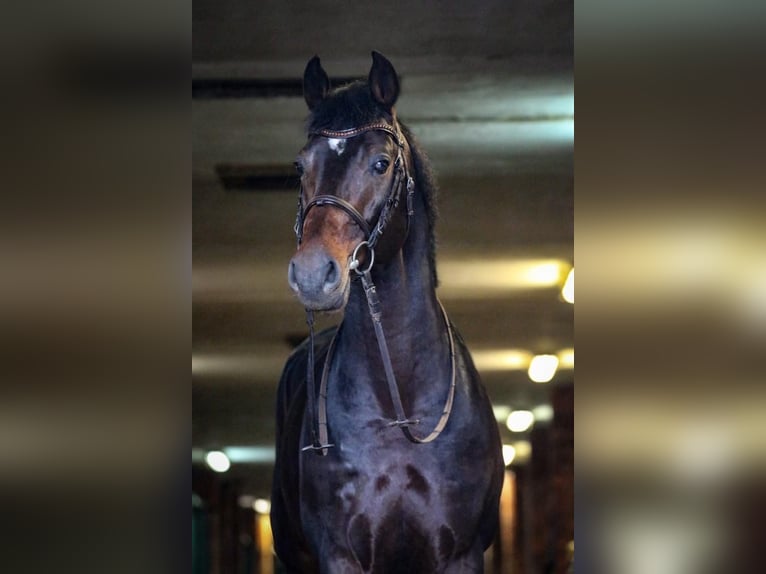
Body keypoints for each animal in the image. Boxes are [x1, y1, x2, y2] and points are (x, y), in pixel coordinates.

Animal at [271, 51, 504, 573]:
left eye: (381, 164)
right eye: (299, 166)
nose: (313, 273)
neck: (400, 413)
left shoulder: (461, 555)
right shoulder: (338, 555)